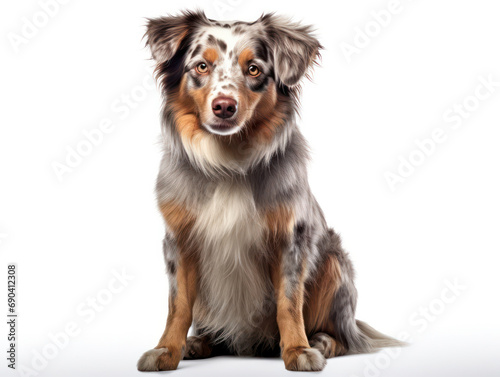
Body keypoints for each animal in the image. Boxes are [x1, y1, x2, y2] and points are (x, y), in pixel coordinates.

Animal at [137, 11, 402, 370]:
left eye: (254, 69)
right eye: (201, 66)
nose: (224, 106)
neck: (229, 162)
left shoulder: (291, 238)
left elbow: (288, 303)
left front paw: (298, 350)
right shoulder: (180, 239)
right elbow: (178, 305)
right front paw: (166, 350)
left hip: (334, 263)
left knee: (346, 338)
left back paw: (323, 341)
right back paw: (200, 342)